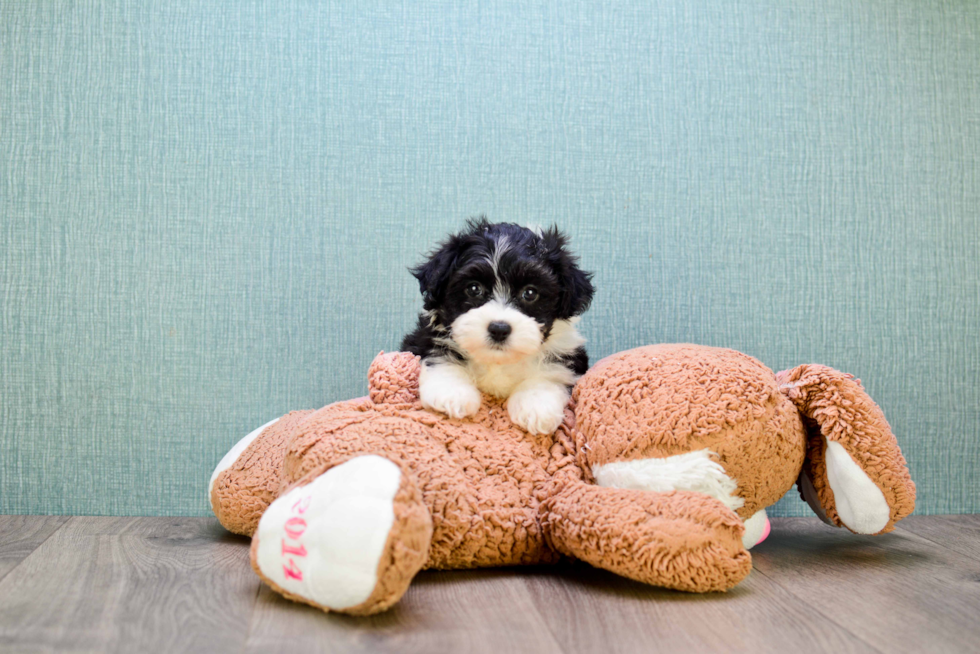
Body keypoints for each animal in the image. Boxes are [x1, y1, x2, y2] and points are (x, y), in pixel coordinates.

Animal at [400, 219, 596, 436]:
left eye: (530, 293)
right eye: (474, 288)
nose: (499, 329)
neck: (498, 361)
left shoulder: (566, 355)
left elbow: (550, 374)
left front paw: (536, 407)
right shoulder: (426, 337)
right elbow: (441, 356)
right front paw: (452, 394)